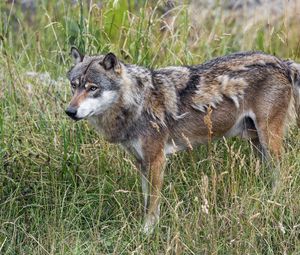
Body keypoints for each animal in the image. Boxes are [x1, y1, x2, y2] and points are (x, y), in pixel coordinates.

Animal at [65, 46, 300, 234]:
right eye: (74, 86)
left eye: (92, 88)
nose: (70, 111)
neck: (136, 103)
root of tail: (282, 62)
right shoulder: (142, 162)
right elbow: (146, 199)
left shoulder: (157, 160)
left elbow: (153, 203)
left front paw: (147, 231)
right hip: (257, 143)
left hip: (268, 140)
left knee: (283, 172)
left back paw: (273, 201)